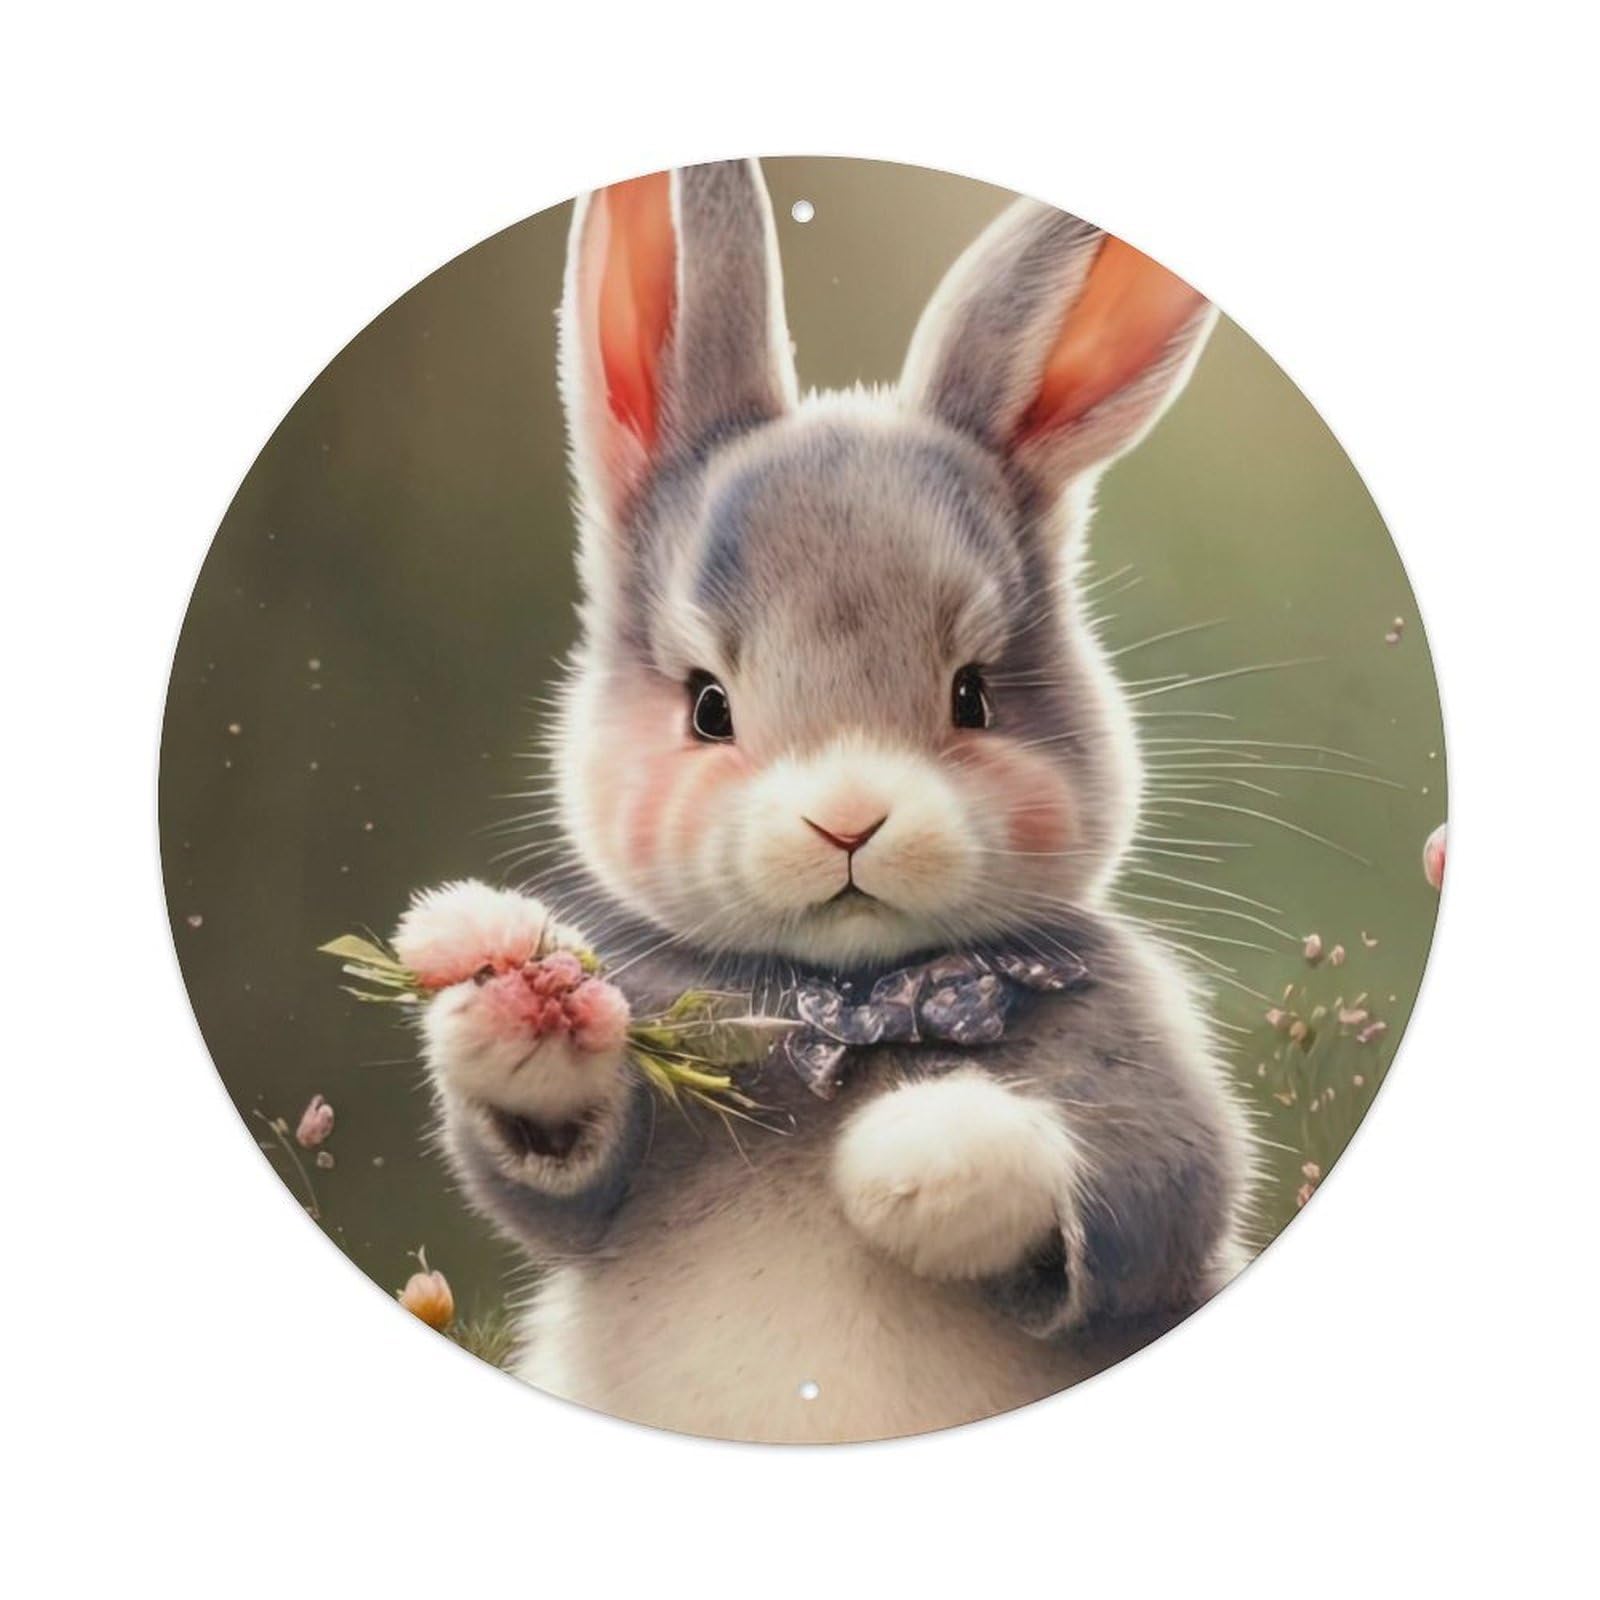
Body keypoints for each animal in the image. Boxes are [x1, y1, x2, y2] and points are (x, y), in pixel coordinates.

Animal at [391, 160, 1253, 1444]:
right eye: (708, 706)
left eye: (972, 694)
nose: (849, 821)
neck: (851, 1003)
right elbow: (552, 1184)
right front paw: (518, 1002)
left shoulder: (1138, 1061)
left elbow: (1160, 1191)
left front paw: (914, 1165)